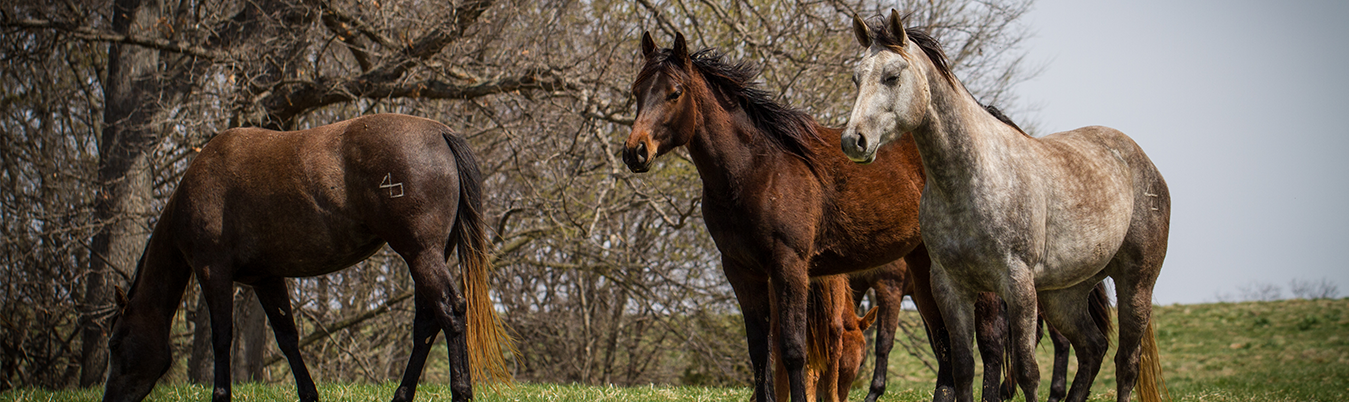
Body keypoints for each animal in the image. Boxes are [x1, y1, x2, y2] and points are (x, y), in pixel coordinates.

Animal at [102, 113, 512, 402]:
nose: (108, 401)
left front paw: (221, 397)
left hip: (421, 254)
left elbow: (222, 338)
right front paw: (309, 395)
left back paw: (461, 393)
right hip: (428, 255)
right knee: (427, 323)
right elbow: (287, 338)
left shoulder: (212, 272)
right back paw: (401, 397)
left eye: (115, 343)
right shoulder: (265, 279)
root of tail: (441, 133)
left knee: (450, 311)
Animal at [620, 33, 1014, 402]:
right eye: (637, 91)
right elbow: (759, 351)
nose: (635, 151)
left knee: (990, 341)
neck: (755, 171)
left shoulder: (790, 265)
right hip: (923, 263)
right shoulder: (742, 271)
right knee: (943, 337)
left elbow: (794, 350)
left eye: (674, 93)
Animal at [841, 10, 1170, 402]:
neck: (973, 179)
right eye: (856, 78)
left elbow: (1027, 371)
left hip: (1135, 285)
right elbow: (963, 368)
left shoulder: (1017, 285)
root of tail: (1139, 159)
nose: (854, 140)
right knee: (1093, 348)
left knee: (1126, 363)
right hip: (1064, 296)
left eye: (891, 76)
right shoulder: (950, 288)